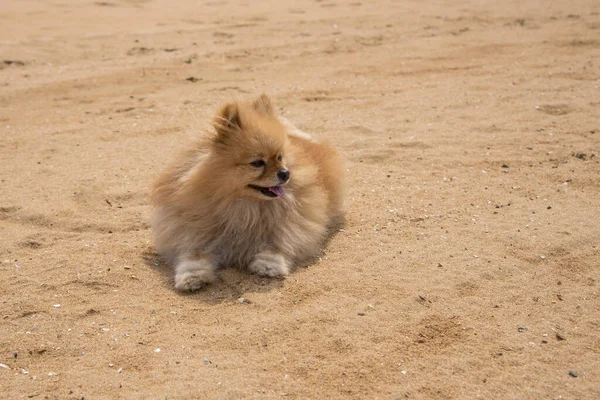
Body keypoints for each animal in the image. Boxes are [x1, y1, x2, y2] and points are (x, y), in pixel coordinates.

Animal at [150, 95, 344, 292]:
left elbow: (281, 242)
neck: (239, 205)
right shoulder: (191, 228)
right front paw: (192, 276)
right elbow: (193, 253)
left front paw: (269, 264)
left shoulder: (294, 222)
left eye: (280, 157)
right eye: (257, 163)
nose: (285, 173)